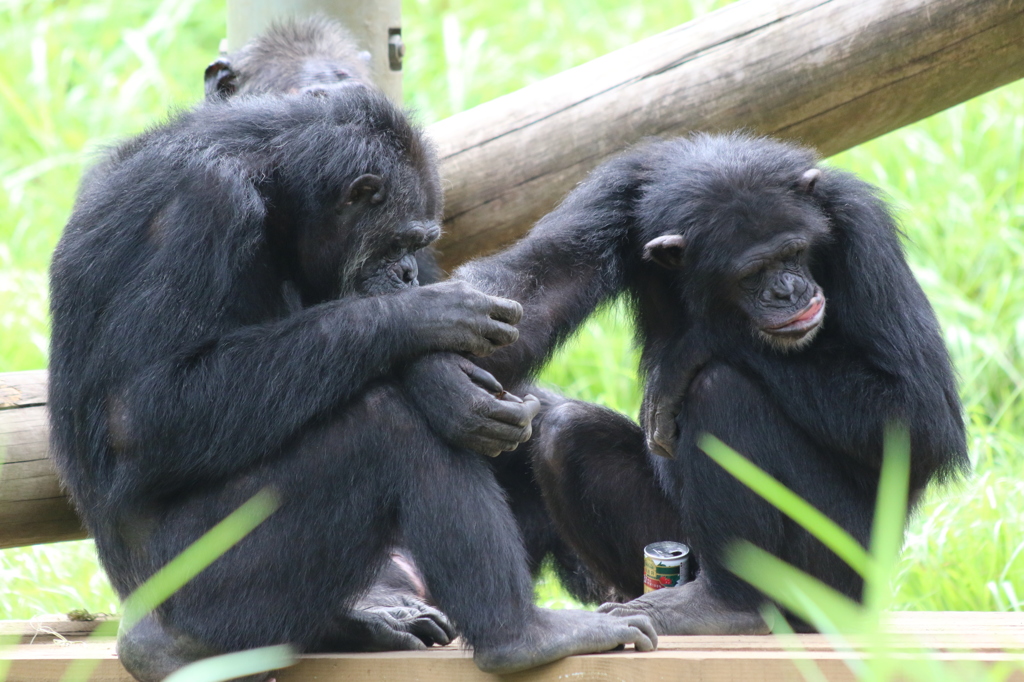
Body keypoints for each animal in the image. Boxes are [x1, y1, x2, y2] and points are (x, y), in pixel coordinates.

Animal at [46, 87, 655, 675]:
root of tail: (142, 618)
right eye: (401, 242)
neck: (270, 191)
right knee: (388, 425)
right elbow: (144, 409)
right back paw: (525, 637)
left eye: (417, 246)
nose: (409, 273)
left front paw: (439, 374)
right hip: (208, 587)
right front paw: (425, 325)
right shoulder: (199, 208)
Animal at [434, 131, 966, 630]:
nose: (788, 290)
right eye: (752, 273)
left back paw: (728, 605)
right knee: (568, 433)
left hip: (837, 576)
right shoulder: (606, 201)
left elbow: (918, 412)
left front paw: (695, 343)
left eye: (795, 252)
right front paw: (444, 381)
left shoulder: (862, 229)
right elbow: (528, 299)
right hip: (670, 540)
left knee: (720, 391)